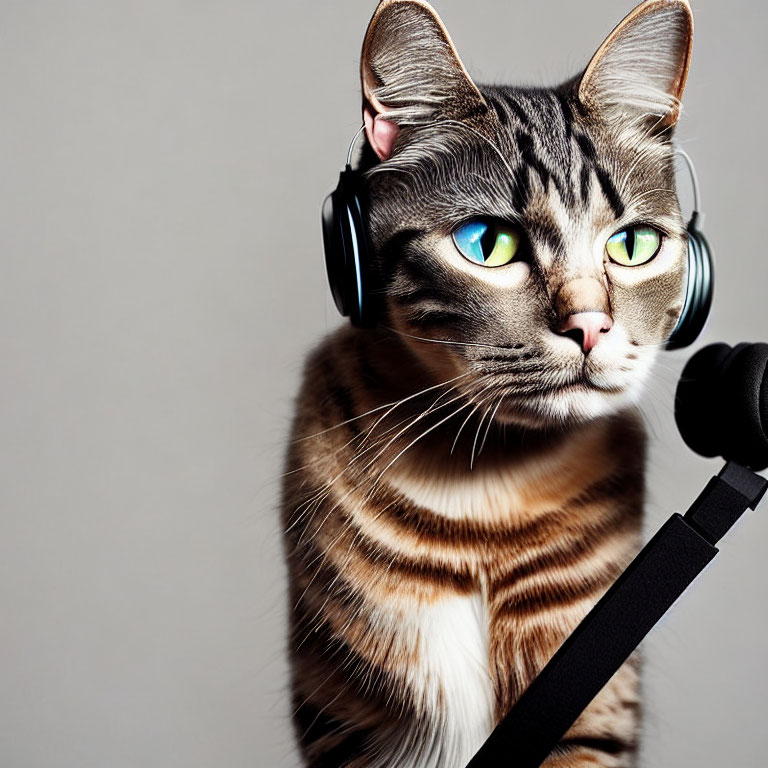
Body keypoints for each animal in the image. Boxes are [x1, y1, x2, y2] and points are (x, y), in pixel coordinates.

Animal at [284, 1, 696, 768]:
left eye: (632, 245)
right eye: (487, 244)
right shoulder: (349, 720)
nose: (590, 325)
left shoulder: (590, 702)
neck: (483, 493)